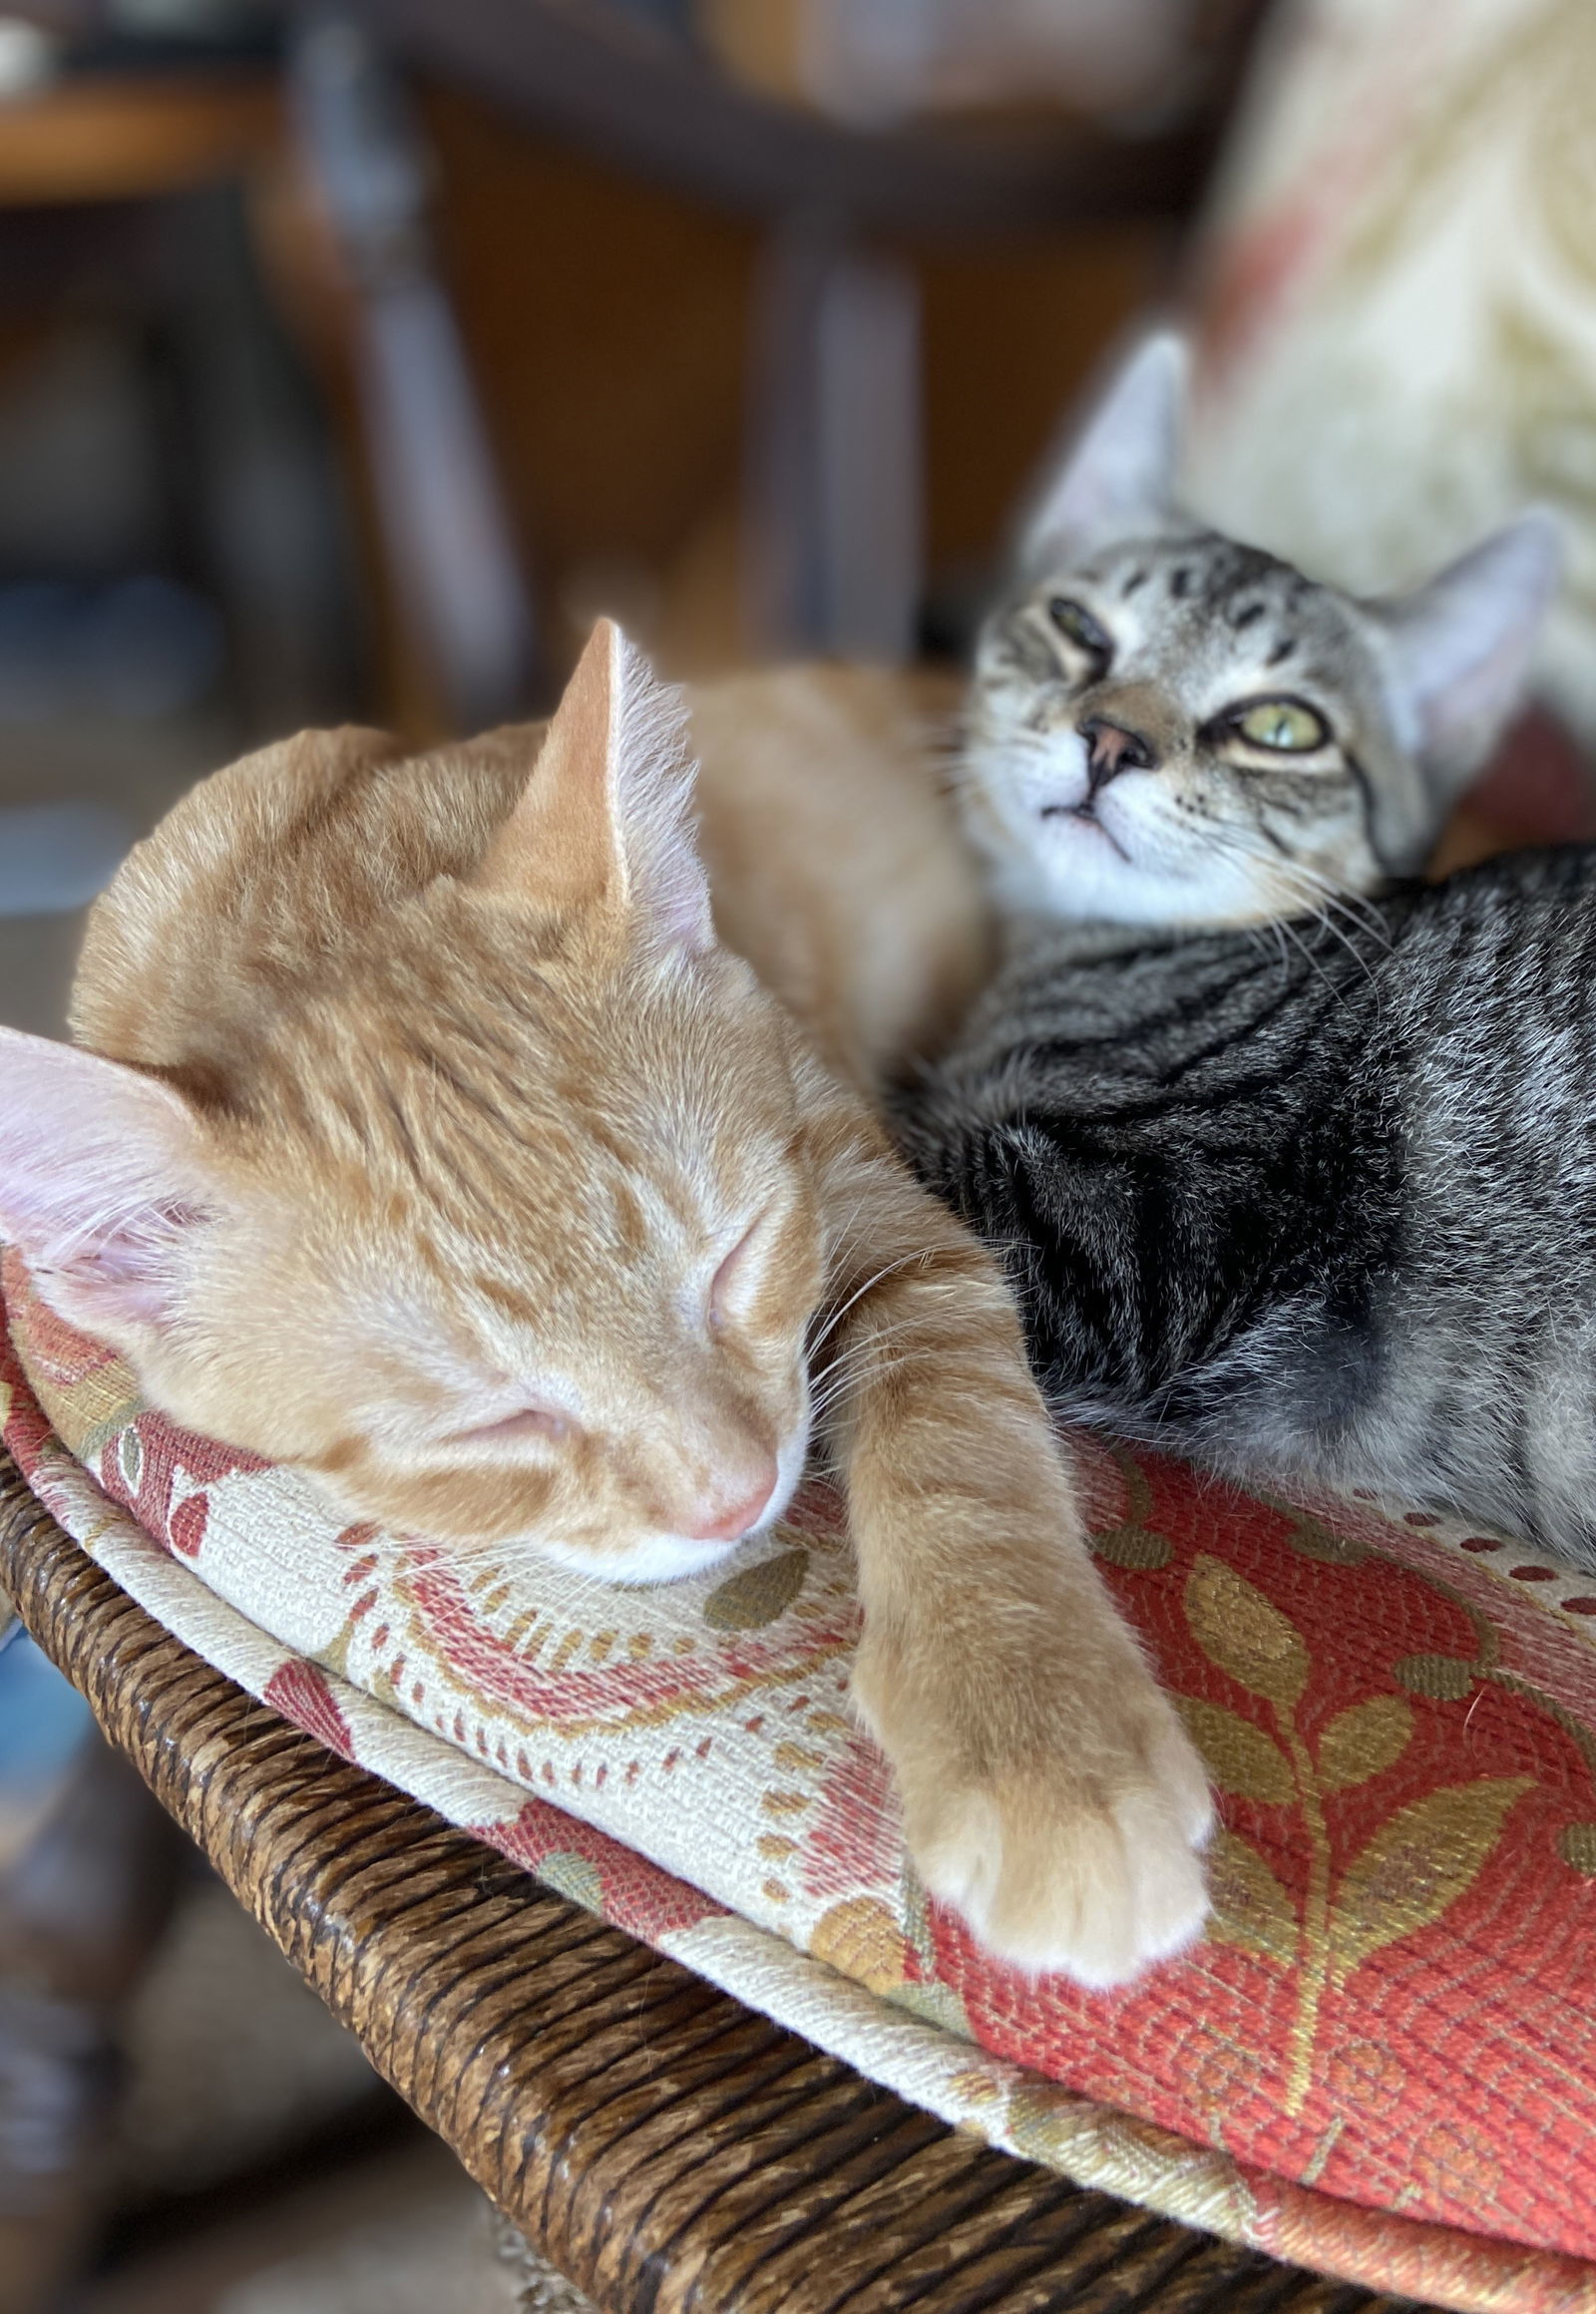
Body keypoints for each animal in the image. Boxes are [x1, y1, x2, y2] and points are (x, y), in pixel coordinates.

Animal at [0, 624, 1202, 1980]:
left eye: (734, 1259)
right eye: (491, 1424)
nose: (735, 1494)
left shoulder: (861, 1191)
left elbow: (957, 1441)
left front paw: (1039, 1732)